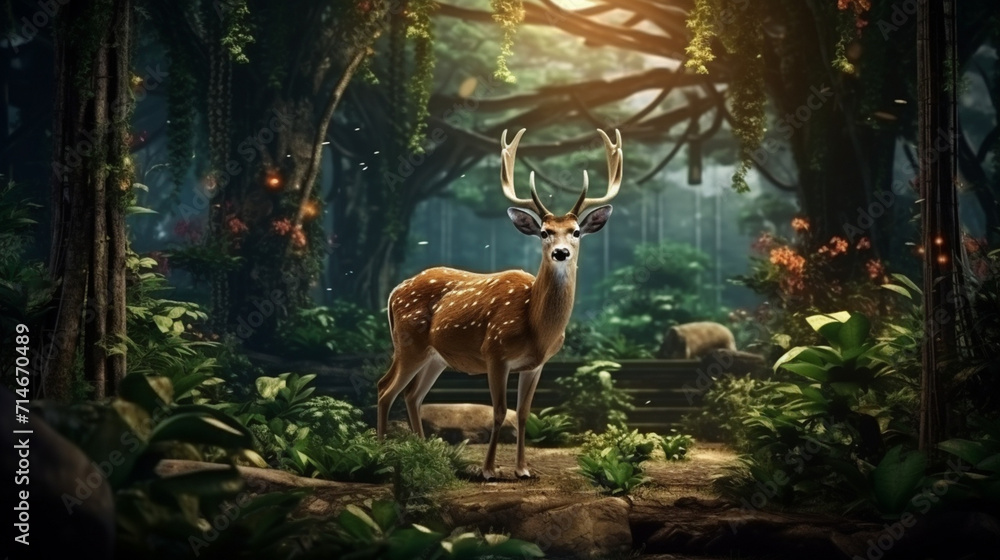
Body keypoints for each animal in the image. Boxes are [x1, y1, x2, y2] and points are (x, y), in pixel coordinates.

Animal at [376, 128, 624, 480]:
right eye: (544, 232)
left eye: (576, 231)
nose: (561, 252)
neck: (536, 328)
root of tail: (394, 291)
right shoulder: (494, 352)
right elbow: (498, 411)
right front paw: (489, 470)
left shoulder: (536, 364)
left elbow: (522, 413)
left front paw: (523, 470)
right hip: (409, 342)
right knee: (386, 388)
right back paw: (380, 452)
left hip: (436, 356)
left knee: (412, 395)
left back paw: (426, 454)